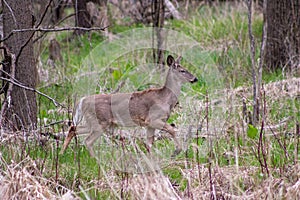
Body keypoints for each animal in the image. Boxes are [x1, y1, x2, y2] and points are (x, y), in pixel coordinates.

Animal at [59, 54, 198, 156]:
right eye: (182, 70)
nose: (195, 79)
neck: (165, 99)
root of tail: (82, 101)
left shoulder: (149, 125)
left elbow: (149, 143)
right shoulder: (152, 119)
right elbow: (172, 130)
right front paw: (177, 151)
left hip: (93, 122)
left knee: (73, 129)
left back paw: (62, 153)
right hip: (100, 122)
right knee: (87, 141)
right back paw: (95, 159)